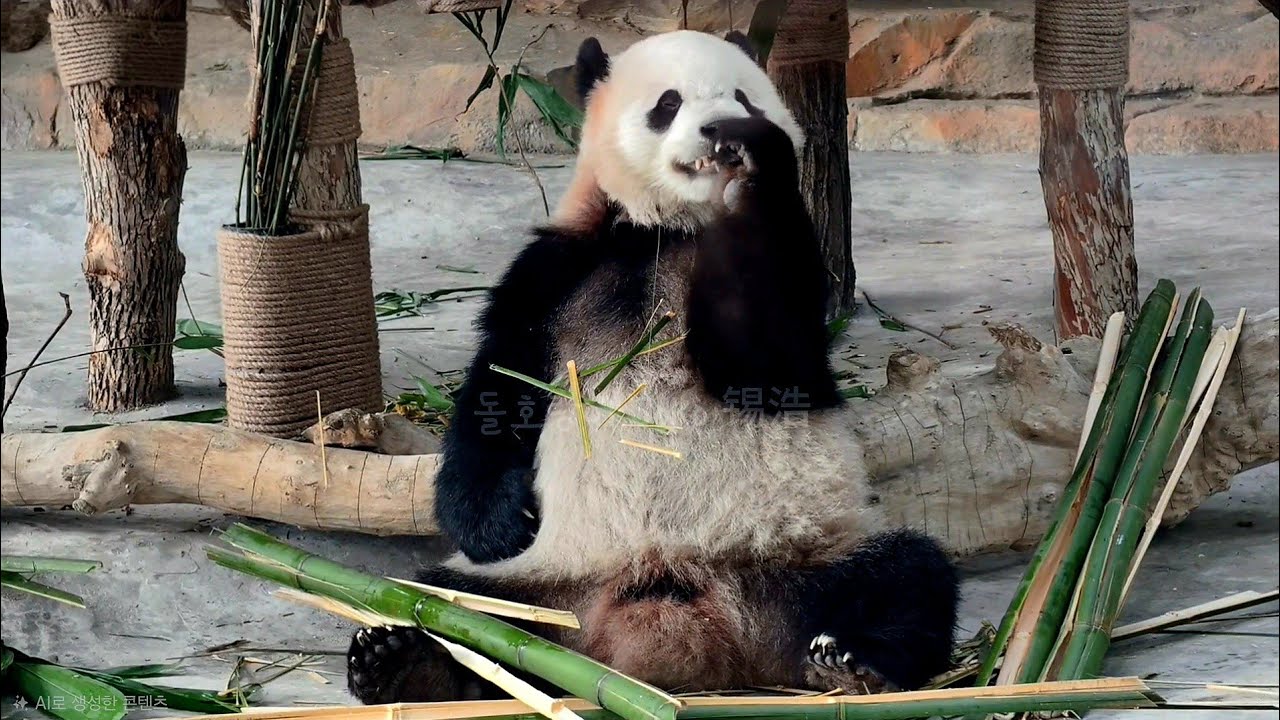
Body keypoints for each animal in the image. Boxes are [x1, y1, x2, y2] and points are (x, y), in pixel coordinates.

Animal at [347, 29, 960, 702]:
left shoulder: (790, 282)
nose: (720, 131)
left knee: (908, 576)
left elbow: (768, 364)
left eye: (744, 97)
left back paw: (852, 660)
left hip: (804, 554)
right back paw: (404, 662)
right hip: (538, 584)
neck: (670, 231)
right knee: (445, 598)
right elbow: (499, 390)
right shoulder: (558, 270)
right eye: (667, 104)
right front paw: (501, 522)